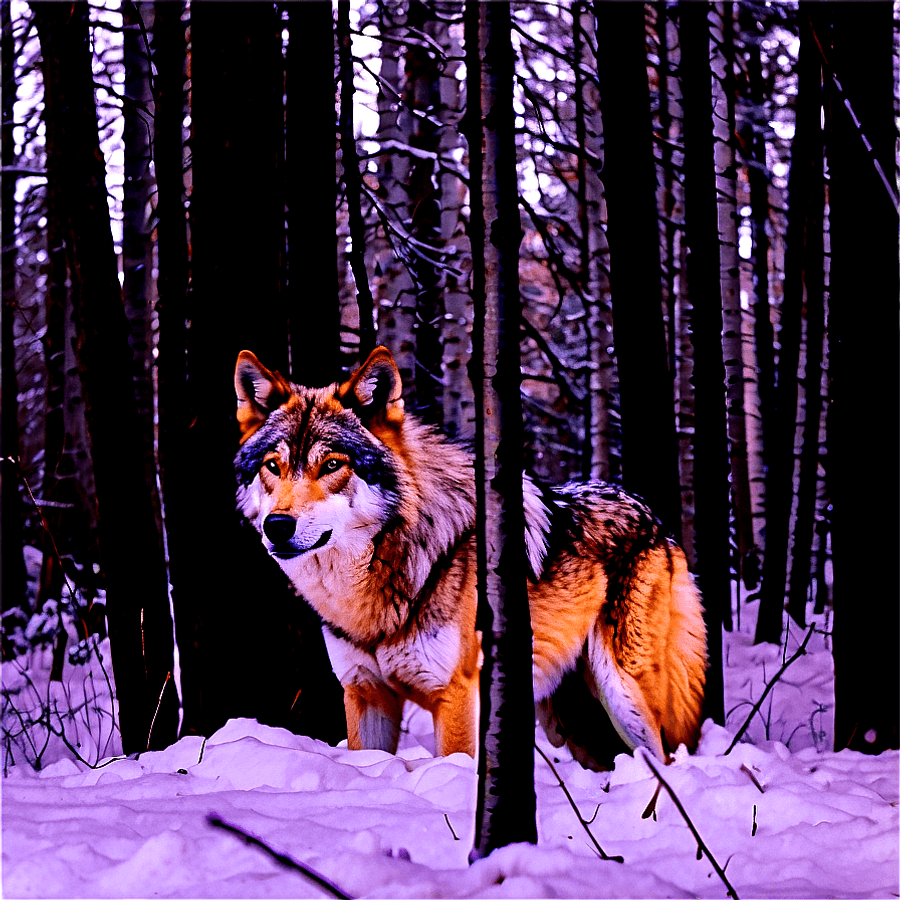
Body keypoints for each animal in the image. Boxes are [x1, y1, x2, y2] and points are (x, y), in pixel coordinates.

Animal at [233, 346, 706, 768]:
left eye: (332, 465)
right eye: (273, 467)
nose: (277, 525)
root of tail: (656, 521)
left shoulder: (456, 696)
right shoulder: (364, 693)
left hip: (625, 693)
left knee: (664, 759)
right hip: (568, 723)